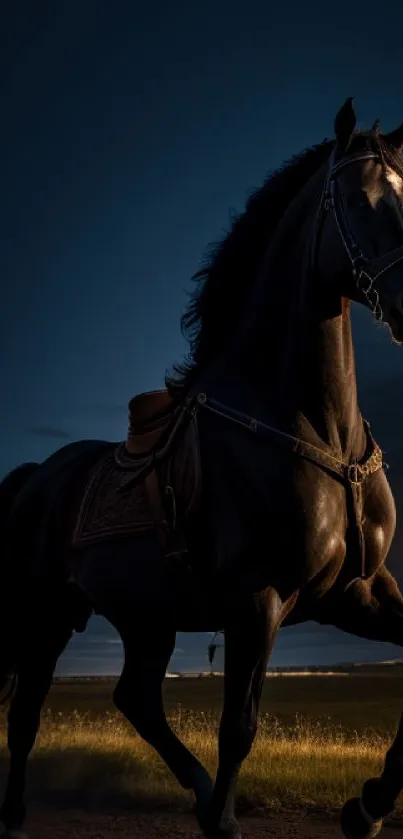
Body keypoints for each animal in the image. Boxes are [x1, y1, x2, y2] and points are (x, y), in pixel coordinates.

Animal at [2, 98, 403, 839]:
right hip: (46, 613)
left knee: (135, 698)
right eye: (361, 200)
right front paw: (226, 822)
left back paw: (195, 791)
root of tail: (38, 474)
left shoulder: (358, 594)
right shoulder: (257, 601)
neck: (314, 429)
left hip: (145, 617)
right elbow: (238, 726)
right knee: (26, 712)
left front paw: (364, 807)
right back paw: (16, 817)